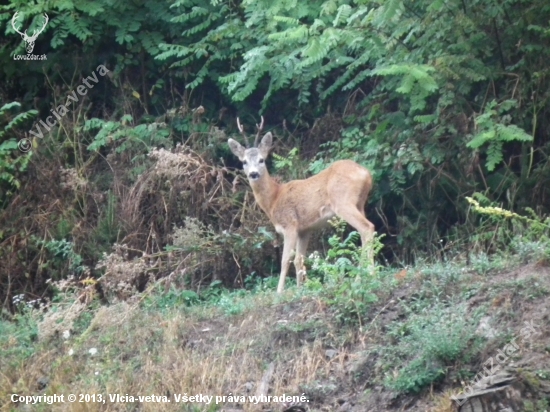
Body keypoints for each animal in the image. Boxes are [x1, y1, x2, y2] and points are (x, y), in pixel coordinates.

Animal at [227, 117, 376, 294]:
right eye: (244, 162)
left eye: (261, 160)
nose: (253, 174)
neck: (274, 199)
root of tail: (366, 174)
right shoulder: (304, 230)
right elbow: (299, 259)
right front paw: (301, 288)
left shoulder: (290, 225)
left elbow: (285, 259)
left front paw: (279, 292)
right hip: (360, 204)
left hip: (343, 202)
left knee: (367, 227)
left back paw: (366, 276)